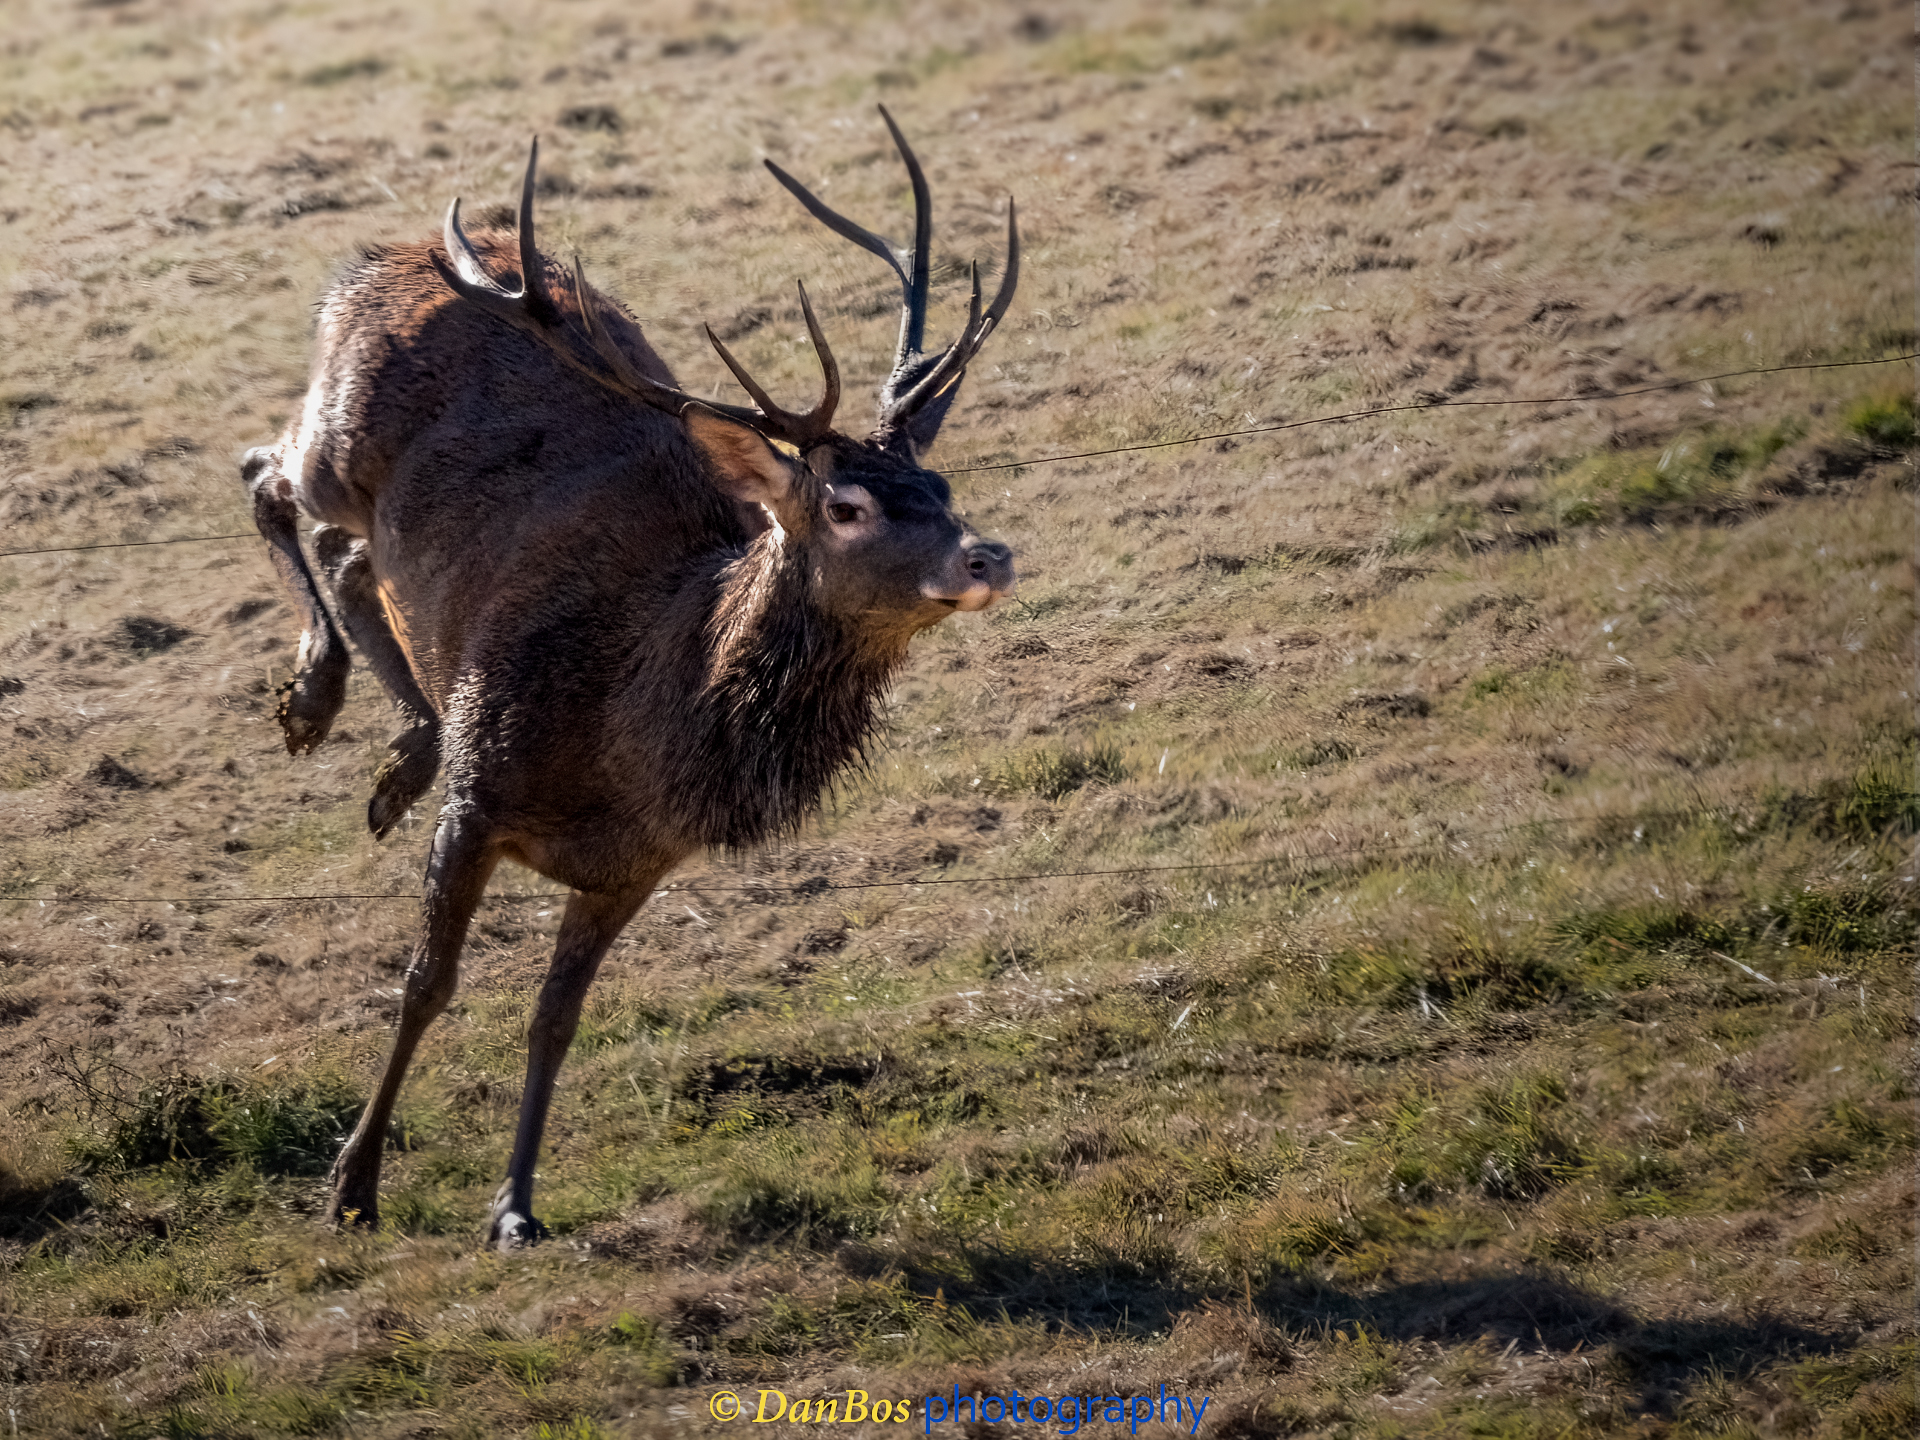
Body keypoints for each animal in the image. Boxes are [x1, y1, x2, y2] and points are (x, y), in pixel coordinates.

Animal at [240, 107, 1018, 1248]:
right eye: (847, 508)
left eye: (944, 485)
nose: (986, 557)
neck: (627, 738)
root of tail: (382, 256)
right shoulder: (481, 799)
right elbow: (427, 984)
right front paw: (351, 1186)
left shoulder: (632, 868)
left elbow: (554, 1019)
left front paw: (515, 1209)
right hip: (336, 440)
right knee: (263, 471)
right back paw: (312, 697)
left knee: (346, 555)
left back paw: (401, 749)